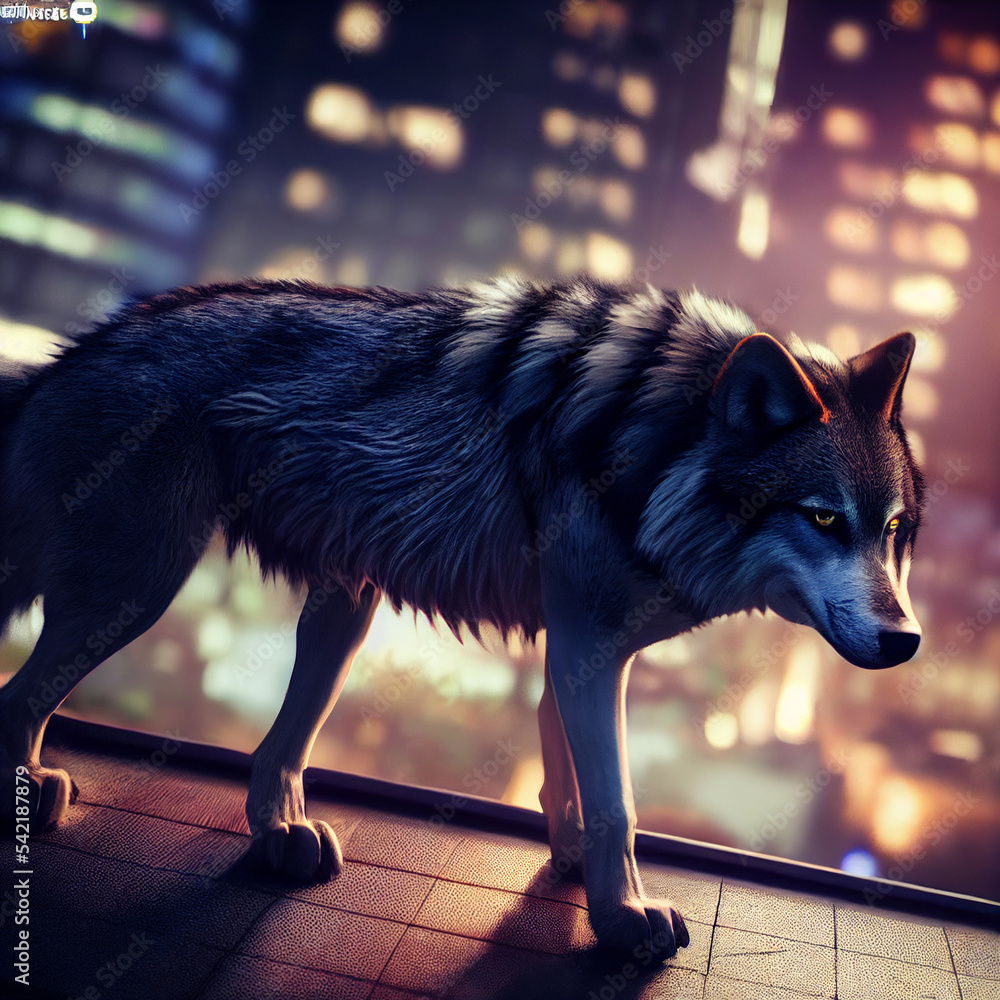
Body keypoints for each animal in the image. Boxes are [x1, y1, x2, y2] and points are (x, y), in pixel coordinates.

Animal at [0, 276, 922, 959]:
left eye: (892, 529)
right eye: (824, 518)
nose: (908, 639)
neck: (654, 454)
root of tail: (70, 354)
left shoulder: (575, 644)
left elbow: (568, 778)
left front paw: (572, 867)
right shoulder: (588, 643)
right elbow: (619, 802)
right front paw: (623, 919)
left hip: (346, 606)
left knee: (275, 751)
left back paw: (283, 837)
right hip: (139, 588)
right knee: (20, 697)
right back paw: (34, 793)